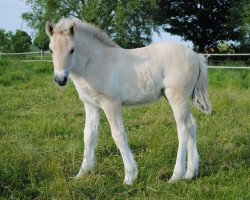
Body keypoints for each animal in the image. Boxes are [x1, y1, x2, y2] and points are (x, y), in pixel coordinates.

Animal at [45, 18, 211, 184]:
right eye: (51, 50)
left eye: (72, 49)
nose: (60, 79)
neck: (95, 63)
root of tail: (195, 55)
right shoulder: (91, 105)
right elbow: (89, 135)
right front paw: (82, 172)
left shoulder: (111, 104)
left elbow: (118, 135)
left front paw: (130, 176)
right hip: (179, 98)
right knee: (191, 124)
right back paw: (190, 173)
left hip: (177, 97)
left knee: (183, 129)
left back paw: (176, 175)